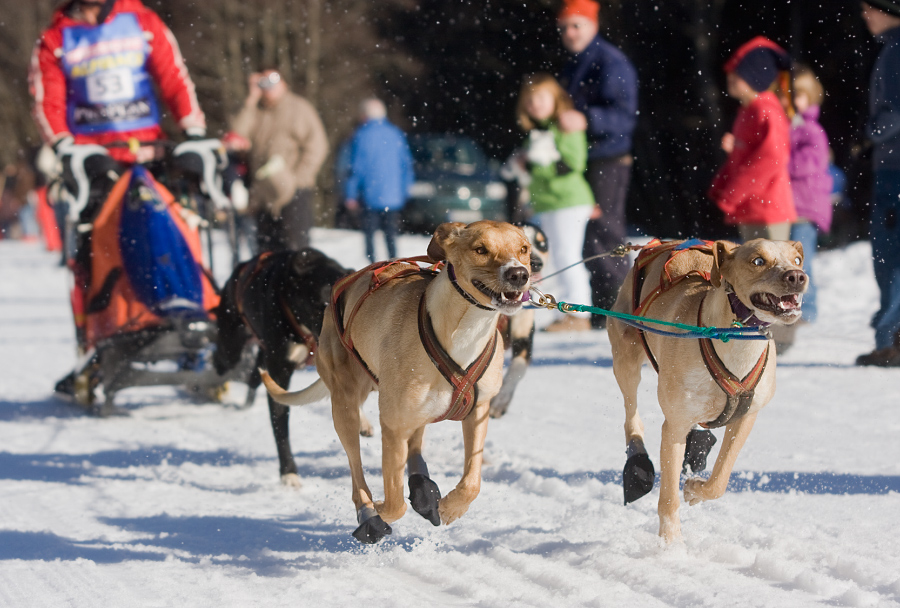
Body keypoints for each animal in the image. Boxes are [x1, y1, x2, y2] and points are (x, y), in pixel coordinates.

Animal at [214, 249, 358, 486]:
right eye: (318, 306)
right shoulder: (279, 371)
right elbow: (280, 421)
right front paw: (288, 472)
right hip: (230, 349)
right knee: (220, 361)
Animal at [260, 221, 532, 544]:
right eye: (480, 249)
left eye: (524, 249)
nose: (519, 274)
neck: (461, 332)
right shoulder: (392, 426)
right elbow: (394, 503)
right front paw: (379, 510)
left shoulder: (478, 411)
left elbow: (472, 481)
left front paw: (451, 507)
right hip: (347, 406)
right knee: (357, 471)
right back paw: (368, 512)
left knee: (415, 443)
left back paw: (422, 488)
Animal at [604, 238, 808, 540]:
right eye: (758, 261)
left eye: (796, 260)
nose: (797, 276)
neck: (731, 340)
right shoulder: (674, 426)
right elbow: (668, 499)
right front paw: (671, 545)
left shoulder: (746, 417)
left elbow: (719, 480)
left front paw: (695, 489)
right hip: (626, 357)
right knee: (632, 416)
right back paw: (637, 460)